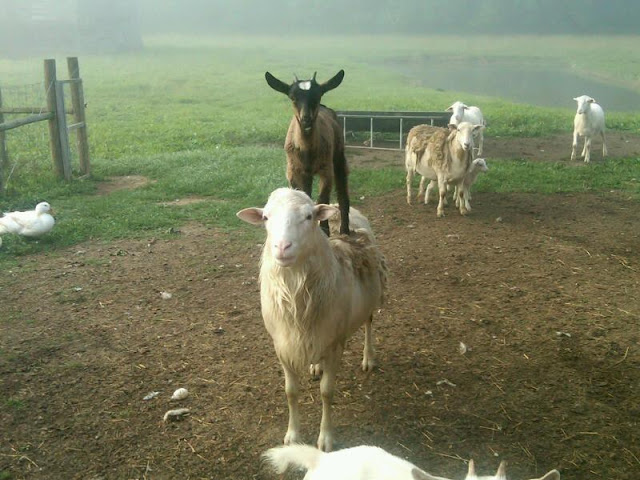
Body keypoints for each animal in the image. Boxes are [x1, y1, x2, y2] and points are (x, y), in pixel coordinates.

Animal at [235, 188, 384, 450]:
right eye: (265, 217)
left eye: (308, 216)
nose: (282, 247)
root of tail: (336, 205)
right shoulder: (283, 345)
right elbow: (291, 391)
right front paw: (293, 435)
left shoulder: (335, 344)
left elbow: (327, 392)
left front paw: (325, 438)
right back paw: (316, 366)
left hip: (369, 299)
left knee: (368, 323)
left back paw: (368, 358)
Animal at [264, 70, 350, 235]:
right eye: (293, 97)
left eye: (318, 95)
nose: (306, 119)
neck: (307, 151)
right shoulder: (293, 171)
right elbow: (301, 197)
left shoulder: (326, 169)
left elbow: (323, 198)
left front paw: (324, 229)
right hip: (307, 174)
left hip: (339, 156)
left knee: (342, 190)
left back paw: (345, 229)